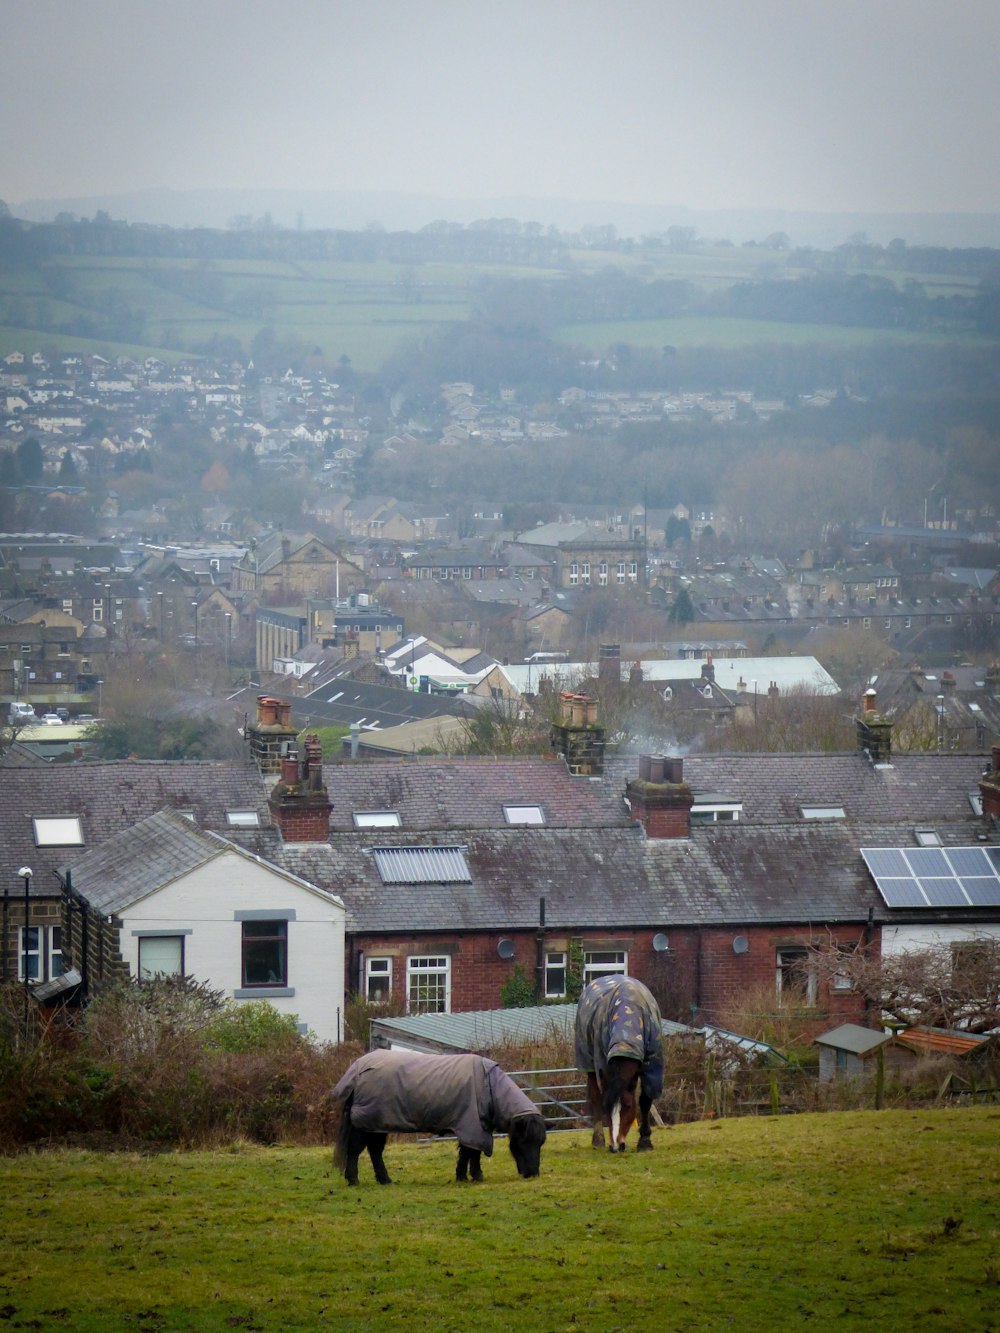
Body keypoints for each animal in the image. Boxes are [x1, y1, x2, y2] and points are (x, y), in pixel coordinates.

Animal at [330, 1045, 549, 1183]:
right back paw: (354, 1179)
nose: (532, 1174)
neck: (490, 1087)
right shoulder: (473, 1127)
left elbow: (466, 1153)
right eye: (523, 1141)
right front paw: (475, 1176)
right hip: (367, 1123)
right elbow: (472, 1152)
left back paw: (384, 1179)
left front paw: (462, 1176)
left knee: (374, 1151)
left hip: (378, 1124)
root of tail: (358, 1070)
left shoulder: (470, 1127)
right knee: (356, 1150)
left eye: (540, 1143)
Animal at [570, 975, 666, 1151]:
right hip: (589, 1063)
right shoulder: (603, 1063)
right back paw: (598, 1140)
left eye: (628, 1106)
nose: (615, 1146)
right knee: (595, 1096)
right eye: (607, 1107)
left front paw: (645, 1140)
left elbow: (645, 1101)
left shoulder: (652, 1065)